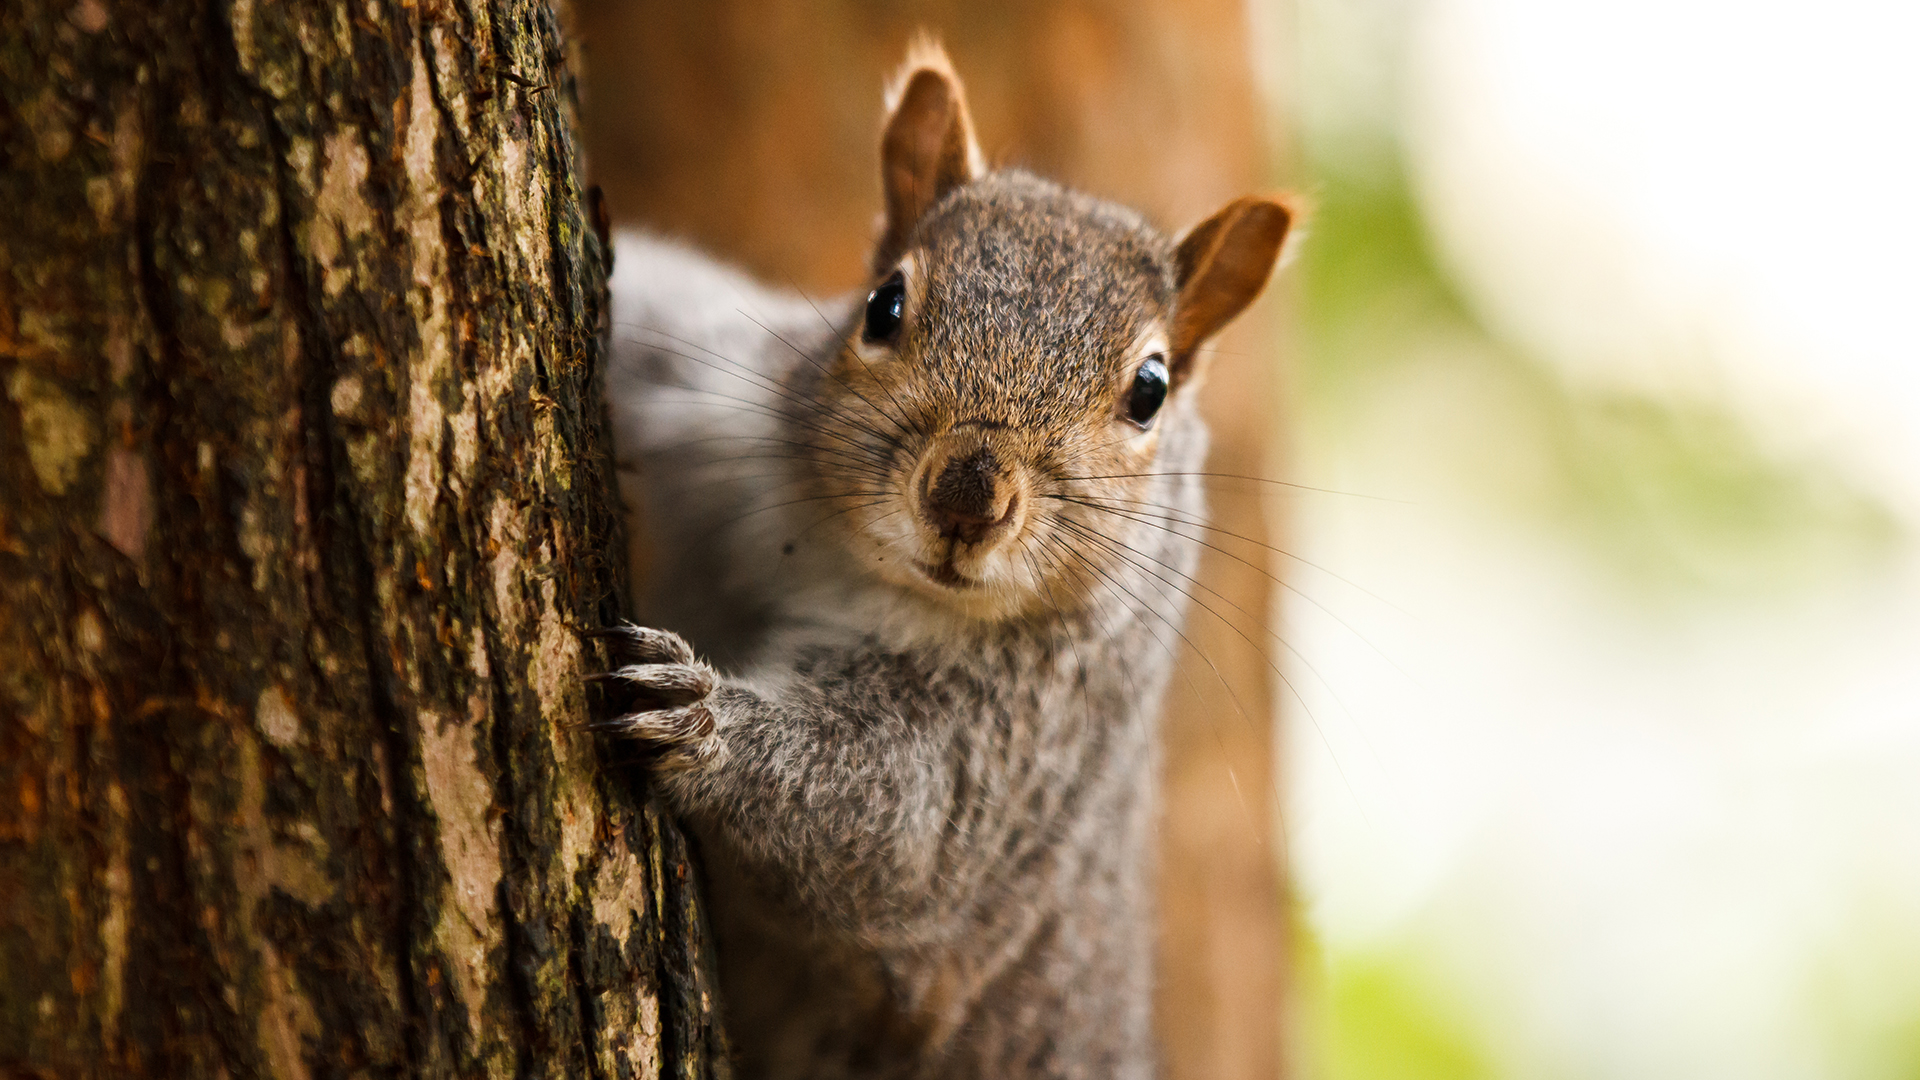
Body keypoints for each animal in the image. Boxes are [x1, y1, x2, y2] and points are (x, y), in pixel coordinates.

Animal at [595, 39, 1290, 1076]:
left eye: (1151, 390)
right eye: (883, 306)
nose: (968, 497)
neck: (849, 564)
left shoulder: (1021, 737)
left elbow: (895, 822)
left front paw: (698, 719)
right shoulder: (715, 402)